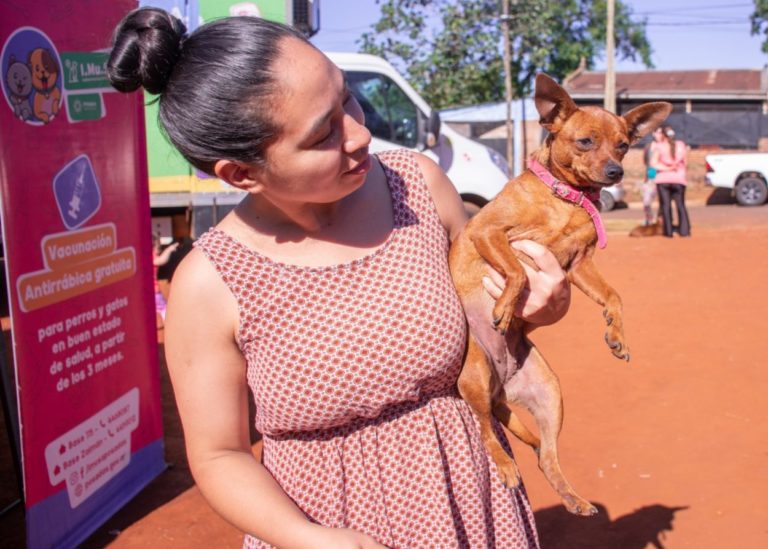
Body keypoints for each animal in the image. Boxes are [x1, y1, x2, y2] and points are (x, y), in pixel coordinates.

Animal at [450, 73, 672, 512]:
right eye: (585, 141)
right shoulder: (487, 231)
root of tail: (503, 385)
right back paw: (505, 465)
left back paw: (573, 498)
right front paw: (505, 306)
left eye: (623, 144)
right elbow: (517, 271)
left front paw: (617, 334)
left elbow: (614, 296)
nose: (615, 171)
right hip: (475, 377)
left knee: (547, 456)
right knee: (485, 429)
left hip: (550, 396)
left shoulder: (578, 266)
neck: (567, 199)